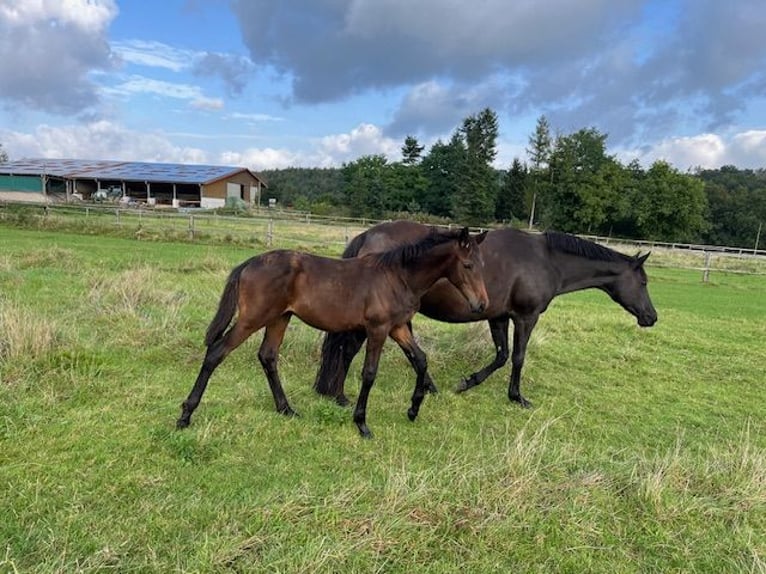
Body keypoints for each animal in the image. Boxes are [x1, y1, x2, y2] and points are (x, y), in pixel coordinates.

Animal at [178, 227, 488, 438]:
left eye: (481, 265)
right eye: (468, 265)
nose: (481, 304)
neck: (397, 276)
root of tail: (248, 263)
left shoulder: (398, 327)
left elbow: (421, 360)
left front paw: (413, 409)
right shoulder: (378, 329)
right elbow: (369, 373)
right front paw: (362, 423)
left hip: (279, 318)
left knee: (267, 356)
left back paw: (286, 409)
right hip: (252, 318)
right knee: (216, 352)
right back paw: (185, 415)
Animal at [314, 222, 660, 410]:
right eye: (644, 282)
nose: (651, 317)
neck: (546, 259)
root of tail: (368, 235)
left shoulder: (498, 316)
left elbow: (501, 355)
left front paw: (467, 382)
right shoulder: (525, 317)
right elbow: (517, 357)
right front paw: (517, 397)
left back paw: (429, 387)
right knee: (348, 349)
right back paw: (340, 396)